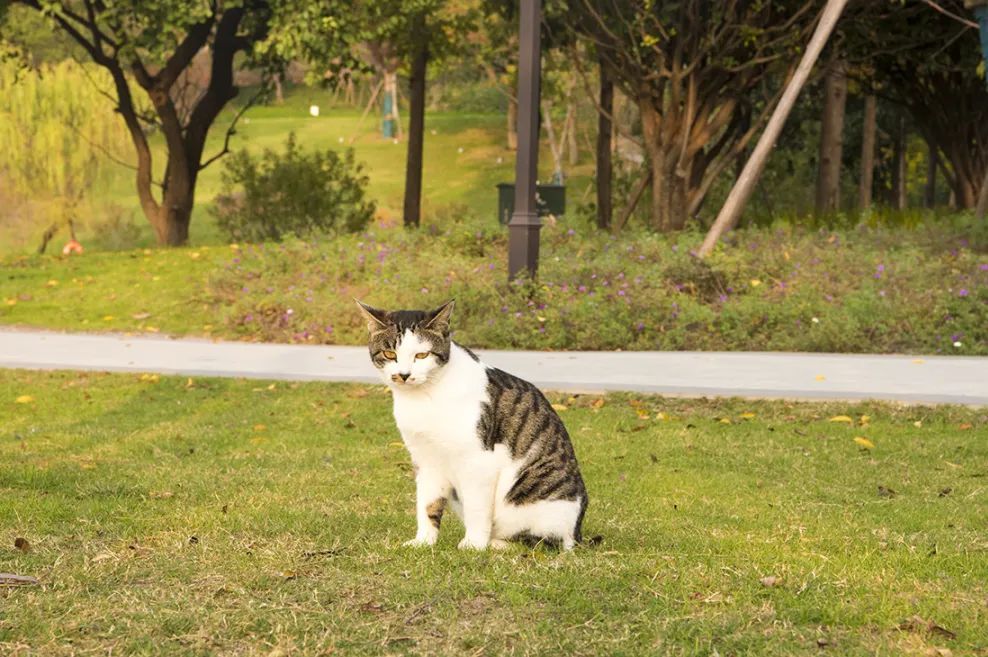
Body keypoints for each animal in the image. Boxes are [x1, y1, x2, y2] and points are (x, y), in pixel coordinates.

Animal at [356, 300, 588, 552]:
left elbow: (477, 508)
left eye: (422, 354)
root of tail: (577, 534)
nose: (404, 375)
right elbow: (427, 504)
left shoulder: (479, 461)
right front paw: (424, 541)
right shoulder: (425, 459)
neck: (425, 397)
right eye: (390, 354)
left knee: (542, 542)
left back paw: (497, 544)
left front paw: (474, 544)